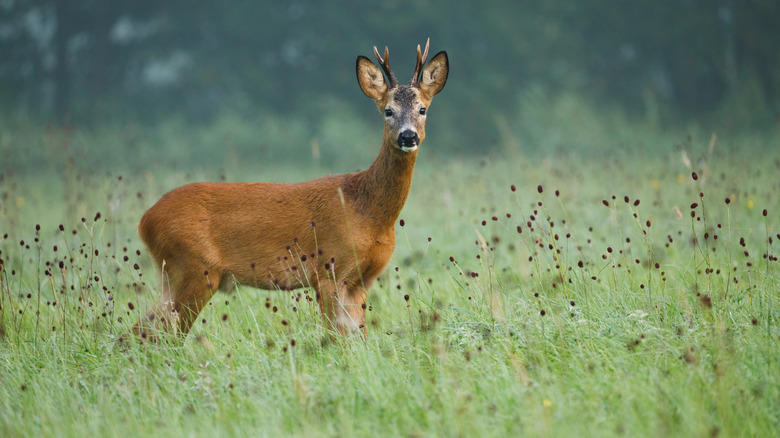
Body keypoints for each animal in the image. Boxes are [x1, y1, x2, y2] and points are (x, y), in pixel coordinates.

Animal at [133, 39, 448, 340]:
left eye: (422, 109)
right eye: (388, 111)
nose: (408, 136)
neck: (367, 211)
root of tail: (145, 220)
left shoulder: (362, 279)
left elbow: (361, 337)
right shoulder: (329, 269)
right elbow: (334, 337)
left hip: (174, 274)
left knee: (142, 329)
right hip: (196, 268)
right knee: (167, 334)